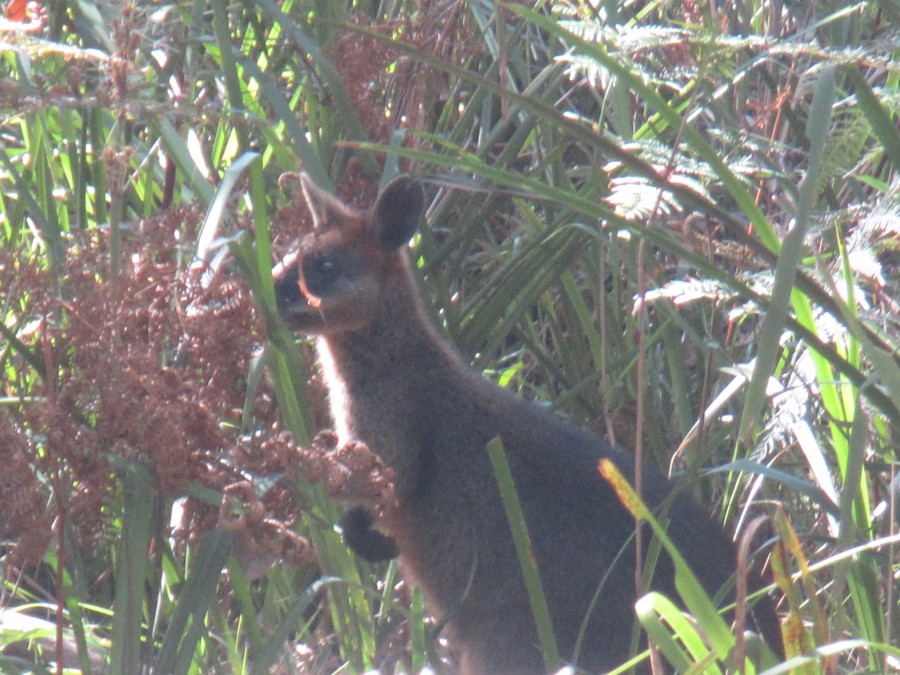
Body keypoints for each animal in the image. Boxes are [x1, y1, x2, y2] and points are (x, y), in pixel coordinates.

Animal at [272, 173, 782, 673]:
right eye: (285, 259)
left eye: (324, 267)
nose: (271, 293)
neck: (391, 367)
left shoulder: (394, 438)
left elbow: (388, 490)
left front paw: (373, 543)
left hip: (517, 634)